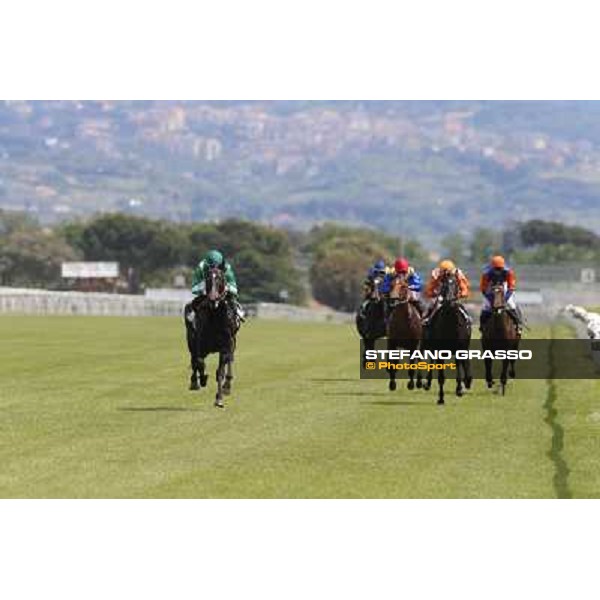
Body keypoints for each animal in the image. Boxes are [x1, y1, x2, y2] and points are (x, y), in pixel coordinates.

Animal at [184, 266, 238, 408]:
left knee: (230, 360)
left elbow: (220, 371)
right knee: (194, 360)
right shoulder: (199, 343)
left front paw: (219, 398)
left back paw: (227, 385)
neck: (215, 318)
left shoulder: (226, 345)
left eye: (220, 278)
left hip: (233, 342)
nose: (213, 298)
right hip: (191, 340)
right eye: (208, 278)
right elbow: (199, 362)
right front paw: (201, 380)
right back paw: (195, 382)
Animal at [424, 270, 472, 404]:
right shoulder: (439, 351)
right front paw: (441, 398)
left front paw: (460, 388)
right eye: (444, 285)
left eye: (456, 284)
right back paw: (427, 383)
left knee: (464, 363)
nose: (450, 300)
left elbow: (460, 370)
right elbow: (441, 377)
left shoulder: (460, 349)